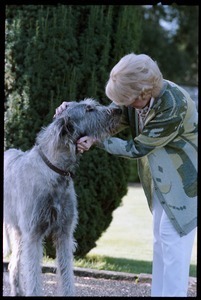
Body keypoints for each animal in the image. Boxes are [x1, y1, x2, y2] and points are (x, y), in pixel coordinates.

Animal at [3, 98, 122, 296]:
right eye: (89, 109)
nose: (119, 110)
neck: (55, 171)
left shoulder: (64, 233)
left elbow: (67, 274)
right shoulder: (33, 234)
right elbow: (33, 275)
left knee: (14, 264)